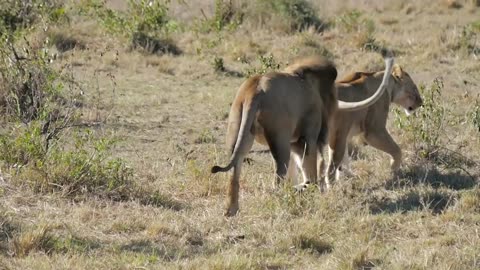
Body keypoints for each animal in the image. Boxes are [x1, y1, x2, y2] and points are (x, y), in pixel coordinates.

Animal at [210, 53, 394, 216]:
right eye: (332, 95)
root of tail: (255, 92)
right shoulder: (307, 134)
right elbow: (309, 162)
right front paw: (312, 187)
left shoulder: (295, 140)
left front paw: (306, 186)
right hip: (279, 135)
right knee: (279, 172)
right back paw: (281, 201)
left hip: (238, 129)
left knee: (236, 165)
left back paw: (232, 210)